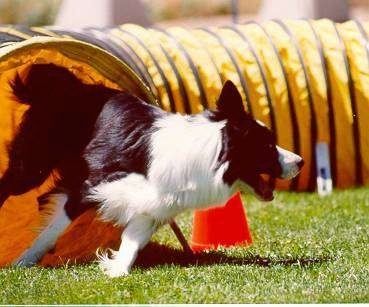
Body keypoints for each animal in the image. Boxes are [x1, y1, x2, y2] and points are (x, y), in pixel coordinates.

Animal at [0, 63, 302, 278]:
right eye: (267, 145)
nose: (300, 161)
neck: (207, 152)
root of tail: (70, 85)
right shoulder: (89, 186)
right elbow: (53, 228)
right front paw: (24, 260)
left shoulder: (153, 205)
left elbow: (131, 243)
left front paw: (115, 270)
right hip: (31, 167)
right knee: (9, 185)